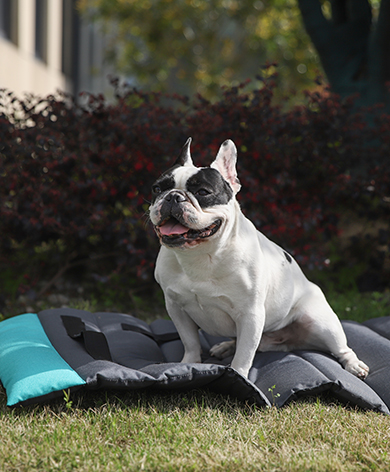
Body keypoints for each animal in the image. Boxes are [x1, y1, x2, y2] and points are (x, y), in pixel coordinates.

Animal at [149, 139, 368, 380]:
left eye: (203, 192)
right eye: (157, 189)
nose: (173, 196)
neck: (201, 255)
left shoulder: (250, 314)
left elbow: (244, 355)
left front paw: (237, 375)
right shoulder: (176, 307)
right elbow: (190, 342)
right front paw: (189, 363)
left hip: (322, 323)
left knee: (341, 348)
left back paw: (354, 364)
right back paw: (225, 346)